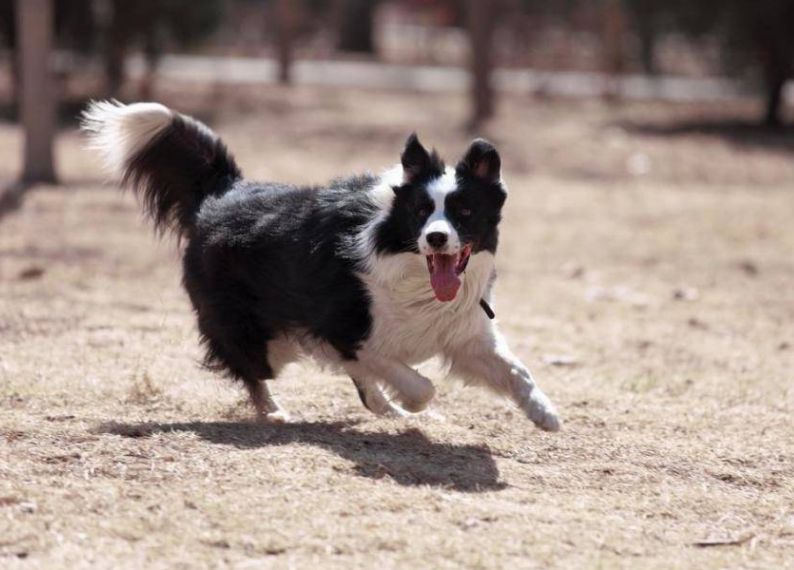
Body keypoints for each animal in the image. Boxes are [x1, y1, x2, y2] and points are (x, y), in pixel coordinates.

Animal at [82, 100, 556, 428]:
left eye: (465, 212)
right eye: (421, 211)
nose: (436, 238)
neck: (410, 267)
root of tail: (224, 190)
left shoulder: (463, 333)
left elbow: (517, 370)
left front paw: (544, 412)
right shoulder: (346, 327)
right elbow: (417, 383)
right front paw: (410, 401)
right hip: (260, 337)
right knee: (254, 371)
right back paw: (274, 412)